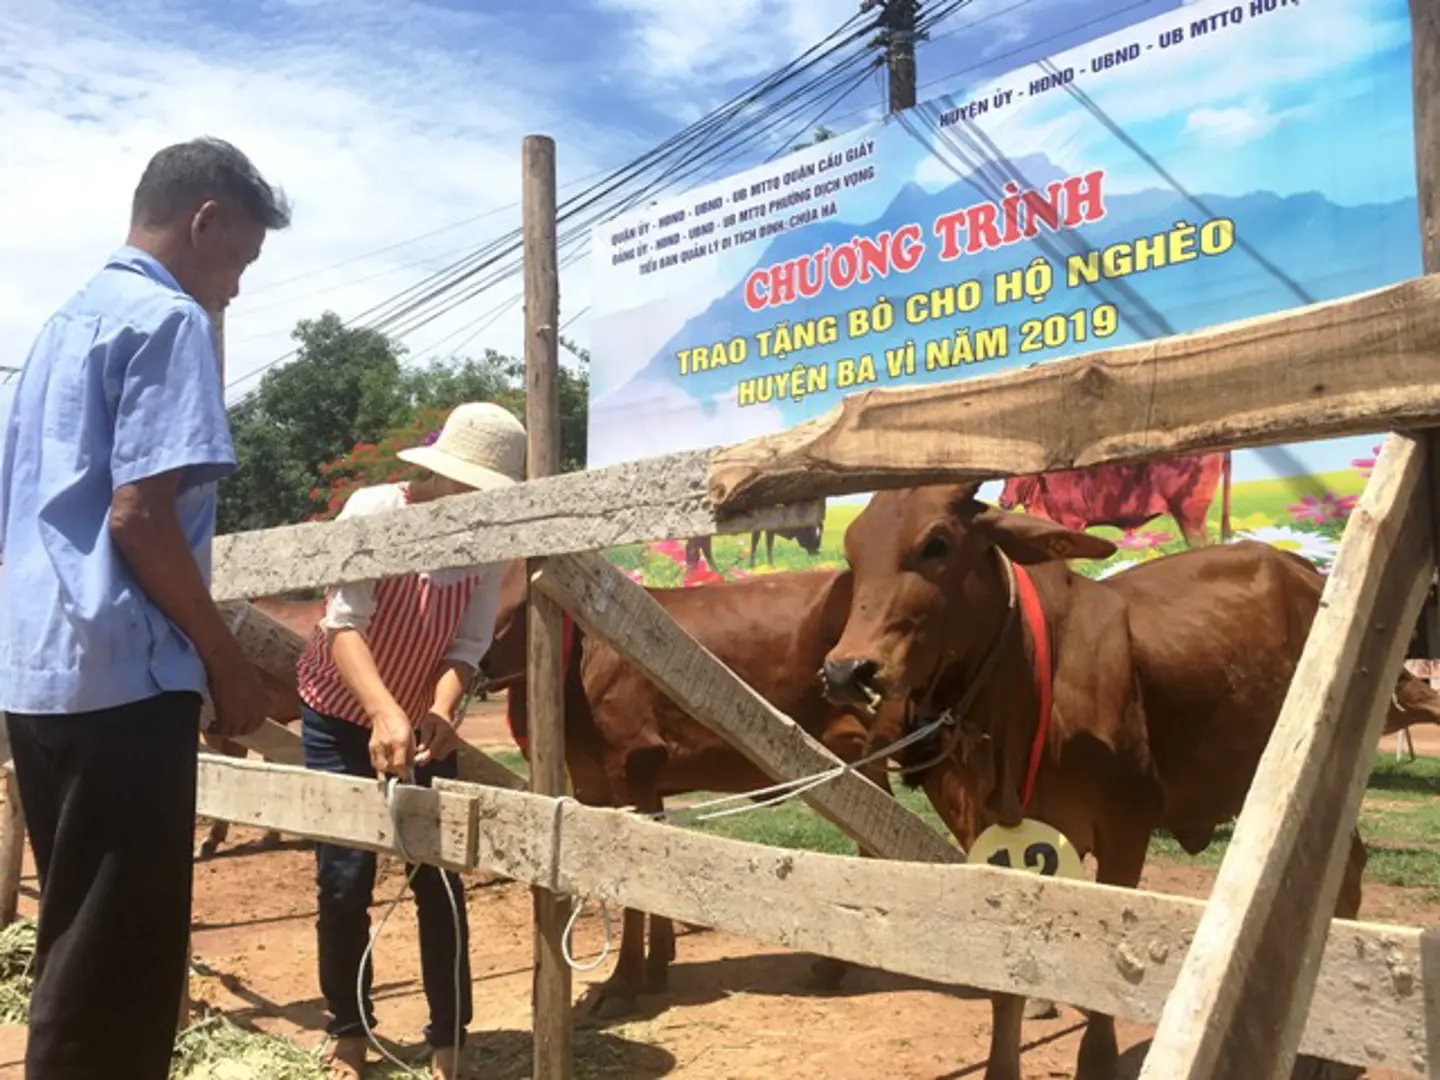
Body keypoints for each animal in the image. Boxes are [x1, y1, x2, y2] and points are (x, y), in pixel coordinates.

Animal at [483, 561, 887, 1019]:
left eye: (521, 602)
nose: (482, 660)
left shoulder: (629, 765)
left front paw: (622, 984)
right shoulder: (638, 783)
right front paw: (657, 967)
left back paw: (834, 966)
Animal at [823, 486, 1440, 1080]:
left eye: (937, 543)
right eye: (853, 552)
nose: (846, 670)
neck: (1030, 683)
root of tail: (1303, 569)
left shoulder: (1126, 828)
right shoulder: (986, 837)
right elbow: (1008, 978)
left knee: (1343, 874)